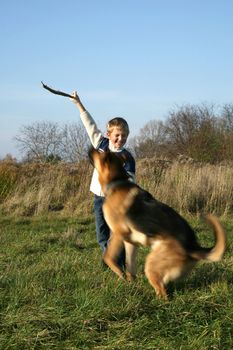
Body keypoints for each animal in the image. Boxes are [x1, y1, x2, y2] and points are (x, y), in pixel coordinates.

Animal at [88, 149, 227, 300]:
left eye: (99, 152)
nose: (91, 148)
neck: (116, 182)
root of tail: (193, 248)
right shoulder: (131, 243)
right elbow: (130, 267)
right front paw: (130, 282)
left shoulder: (119, 233)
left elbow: (108, 257)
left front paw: (119, 273)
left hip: (151, 264)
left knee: (163, 294)